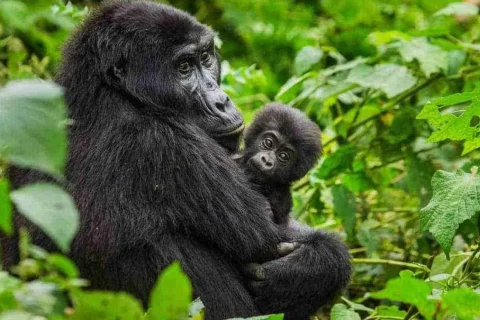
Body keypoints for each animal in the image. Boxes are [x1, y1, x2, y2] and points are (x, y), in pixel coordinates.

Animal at [2, 1, 348, 318]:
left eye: (206, 58)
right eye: (183, 67)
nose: (222, 101)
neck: (108, 91)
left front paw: (303, 270)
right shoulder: (167, 143)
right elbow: (267, 238)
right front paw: (313, 268)